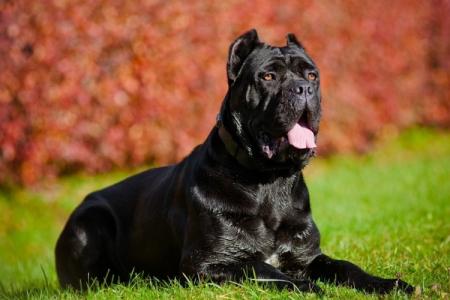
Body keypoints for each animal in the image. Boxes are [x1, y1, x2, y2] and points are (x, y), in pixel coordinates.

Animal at [54, 29, 414, 292]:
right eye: (268, 77)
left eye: (312, 75)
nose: (303, 89)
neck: (270, 181)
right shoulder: (210, 262)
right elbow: (262, 268)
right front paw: (307, 287)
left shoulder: (307, 255)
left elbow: (345, 267)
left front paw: (389, 283)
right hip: (89, 222)